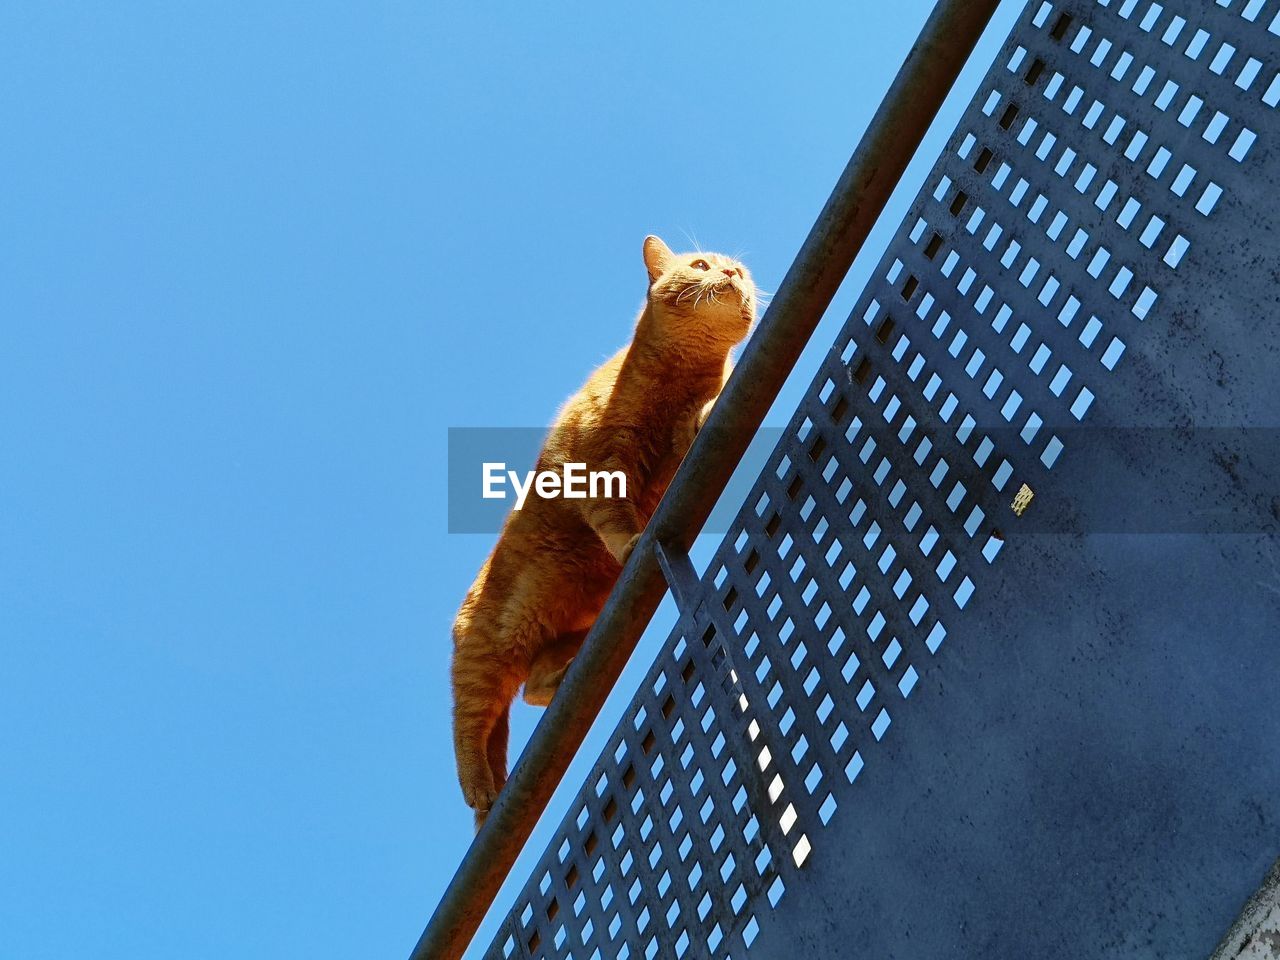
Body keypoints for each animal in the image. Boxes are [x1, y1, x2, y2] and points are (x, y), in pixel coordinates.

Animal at [450, 235, 752, 829]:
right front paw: (632, 541)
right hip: (481, 661)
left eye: (742, 272)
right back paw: (482, 793)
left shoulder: (676, 441)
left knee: (530, 690)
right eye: (701, 265)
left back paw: (560, 678)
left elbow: (697, 420)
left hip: (568, 625)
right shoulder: (597, 468)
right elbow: (614, 519)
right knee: (469, 732)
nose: (730, 274)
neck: (677, 378)